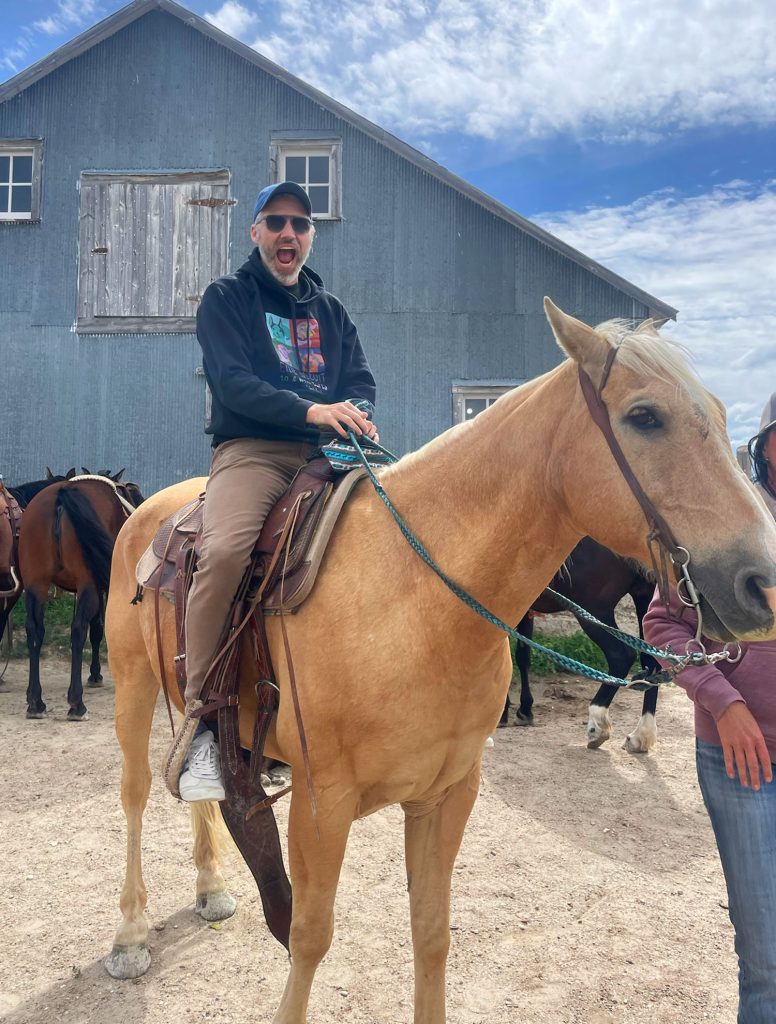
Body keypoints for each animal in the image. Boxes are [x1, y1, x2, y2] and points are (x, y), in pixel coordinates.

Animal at [19, 471, 144, 720]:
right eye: (133, 494)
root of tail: (61, 496)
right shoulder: (99, 587)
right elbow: (96, 629)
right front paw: (95, 674)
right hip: (87, 586)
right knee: (78, 630)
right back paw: (76, 703)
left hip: (36, 586)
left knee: (34, 631)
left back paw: (35, 701)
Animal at [503, 536, 663, 753]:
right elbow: (521, 656)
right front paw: (524, 710)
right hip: (644, 596)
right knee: (652, 659)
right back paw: (641, 734)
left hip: (593, 609)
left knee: (621, 655)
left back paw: (598, 721)